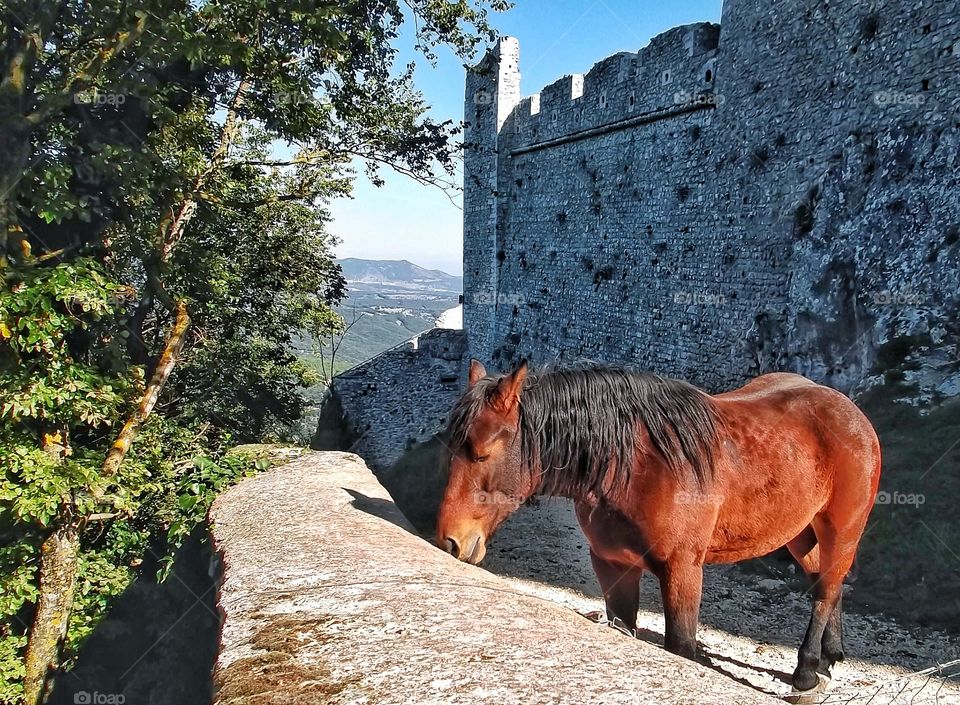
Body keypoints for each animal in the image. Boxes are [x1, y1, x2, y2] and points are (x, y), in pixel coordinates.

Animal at [436, 359, 881, 694]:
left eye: (481, 453)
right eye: (451, 448)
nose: (451, 542)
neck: (636, 466)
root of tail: (849, 410)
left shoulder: (683, 570)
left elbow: (680, 647)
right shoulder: (612, 566)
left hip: (842, 529)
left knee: (826, 588)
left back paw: (806, 671)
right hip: (800, 535)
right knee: (828, 582)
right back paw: (830, 655)